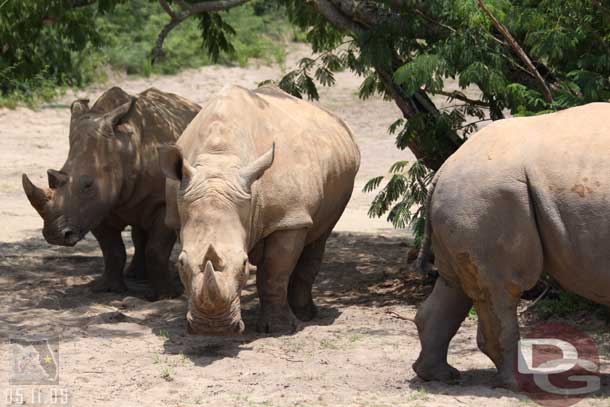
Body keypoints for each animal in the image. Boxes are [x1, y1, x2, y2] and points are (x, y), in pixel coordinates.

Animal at [22, 87, 200, 300]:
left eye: (88, 185)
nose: (55, 236)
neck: (122, 149)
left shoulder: (162, 202)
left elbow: (156, 250)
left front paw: (167, 296)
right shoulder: (97, 207)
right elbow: (112, 250)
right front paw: (107, 289)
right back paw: (136, 276)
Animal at [158, 85, 360, 334]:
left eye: (244, 264)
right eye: (181, 263)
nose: (213, 328)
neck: (220, 161)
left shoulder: (288, 218)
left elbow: (274, 272)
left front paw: (278, 328)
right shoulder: (178, 217)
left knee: (319, 236)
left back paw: (305, 315)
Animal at [410, 102, 608, 388]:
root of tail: (444, 169)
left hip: (466, 196)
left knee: (454, 284)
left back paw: (440, 376)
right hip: (487, 196)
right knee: (501, 290)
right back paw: (522, 384)